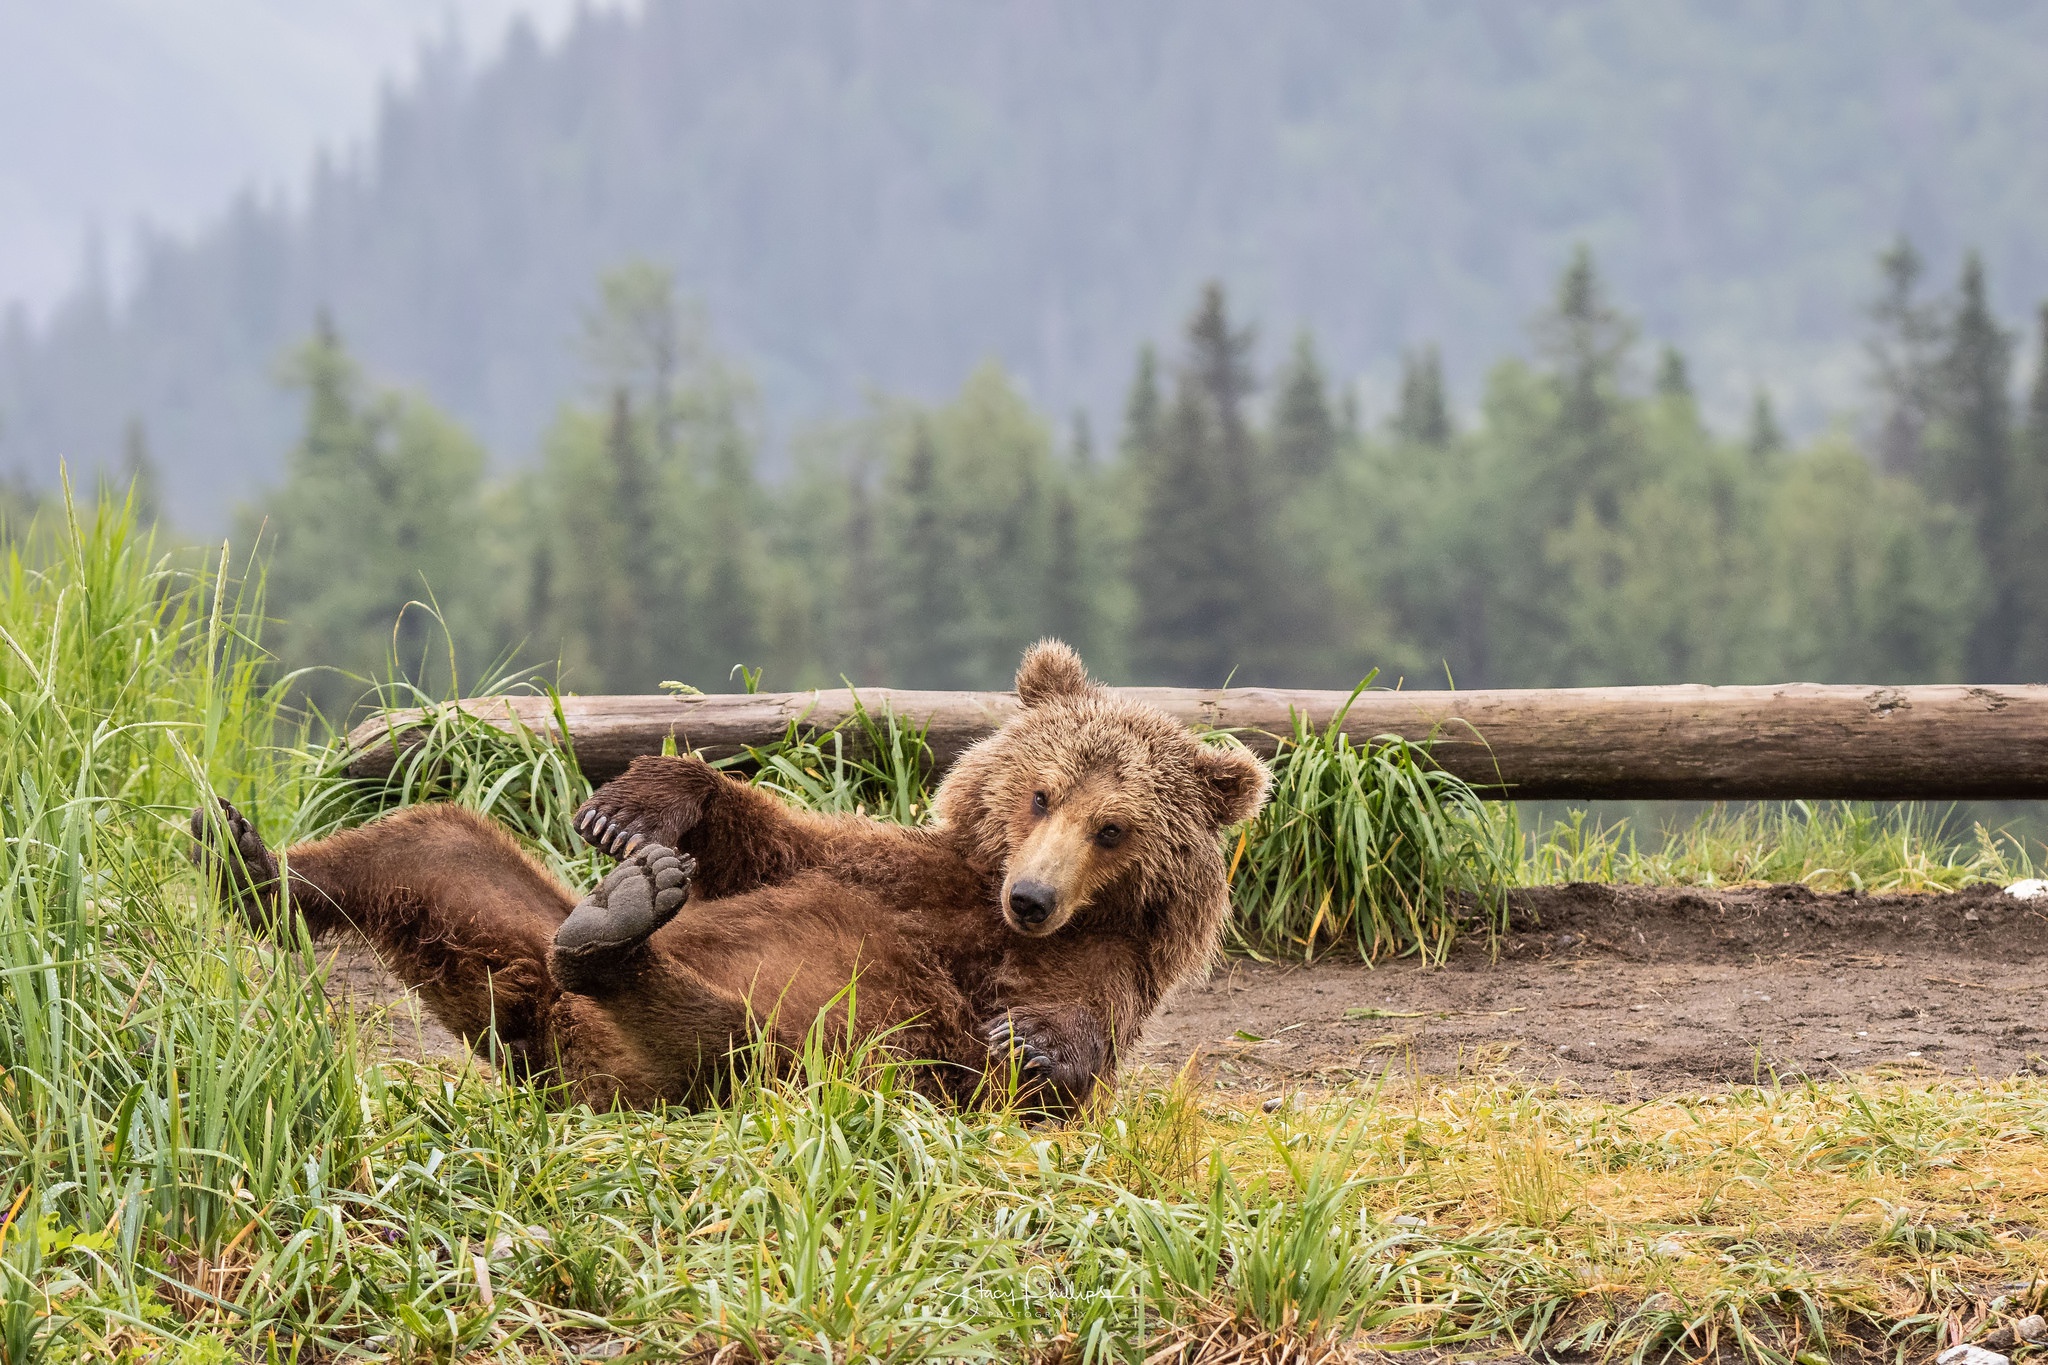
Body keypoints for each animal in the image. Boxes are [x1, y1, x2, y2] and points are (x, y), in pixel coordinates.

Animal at [195, 642, 1277, 1113]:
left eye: (1113, 828)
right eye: (1040, 792)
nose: (1032, 897)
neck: (982, 912)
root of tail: (540, 1034)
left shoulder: (1086, 962)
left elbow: (1039, 1051)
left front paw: (1036, 1044)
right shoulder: (905, 873)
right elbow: (779, 848)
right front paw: (636, 808)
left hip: (786, 1062)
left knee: (729, 1044)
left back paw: (616, 940)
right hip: (501, 925)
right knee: (431, 845)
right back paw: (247, 858)